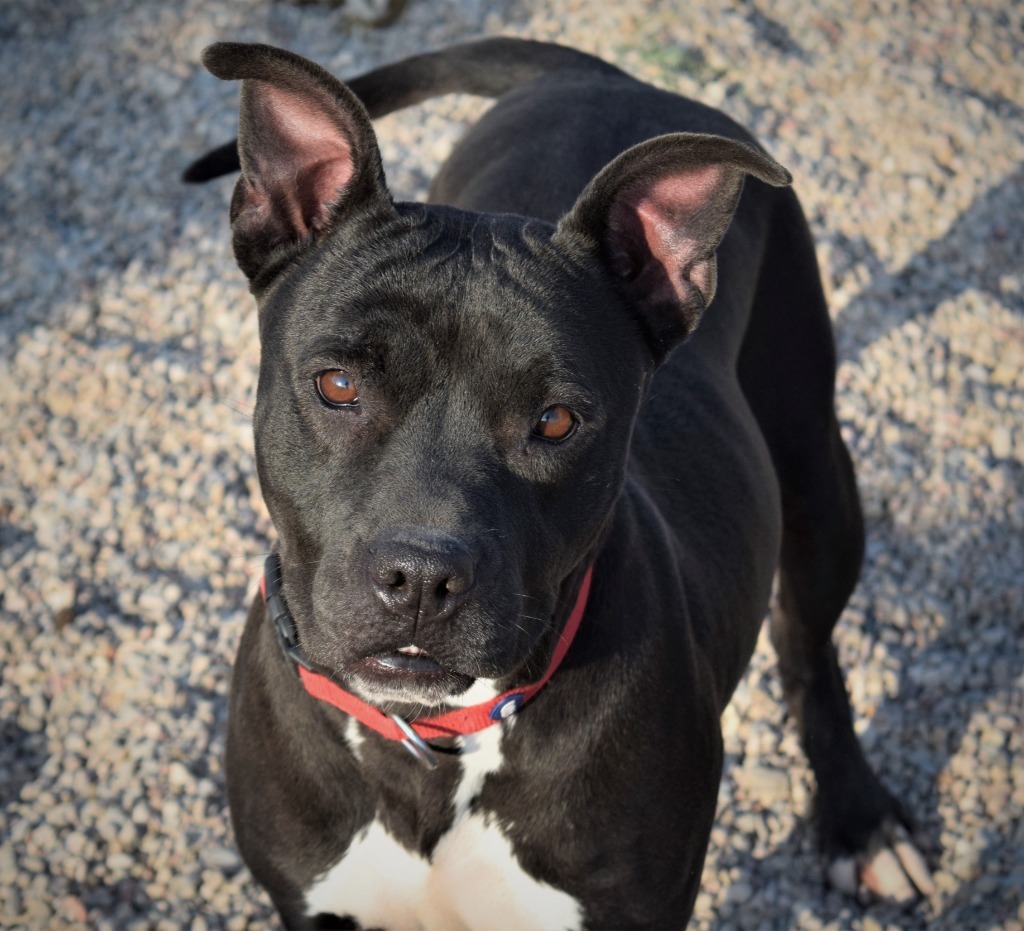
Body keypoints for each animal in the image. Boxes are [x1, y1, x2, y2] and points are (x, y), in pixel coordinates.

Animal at [188, 38, 933, 929]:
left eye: (555, 421)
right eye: (337, 384)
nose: (420, 578)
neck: (435, 744)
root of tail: (609, 77)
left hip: (815, 465)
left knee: (809, 645)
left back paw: (862, 821)